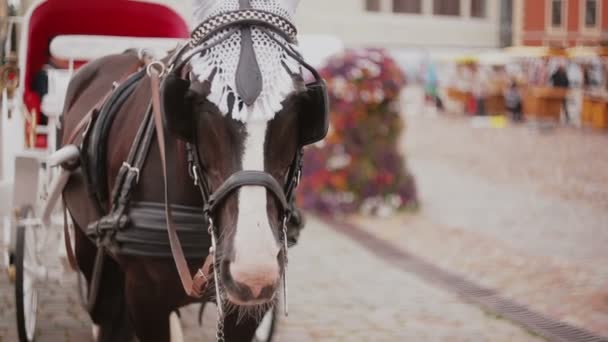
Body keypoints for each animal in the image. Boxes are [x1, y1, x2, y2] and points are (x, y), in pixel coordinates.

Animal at [57, 1, 328, 340]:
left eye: (298, 102)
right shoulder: (144, 298)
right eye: (199, 101)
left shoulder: (249, 309)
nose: (253, 268)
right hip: (92, 254)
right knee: (106, 315)